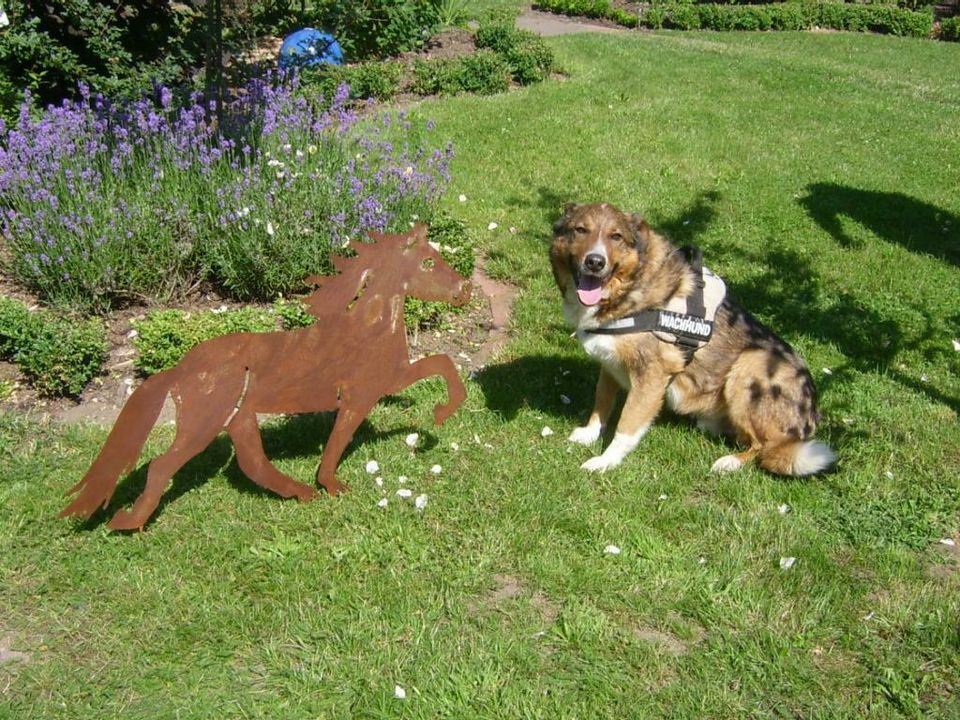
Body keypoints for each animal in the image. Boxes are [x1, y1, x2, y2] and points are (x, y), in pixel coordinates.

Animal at [552, 201, 836, 478]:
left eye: (616, 236)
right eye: (580, 230)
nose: (595, 262)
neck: (628, 291)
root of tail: (810, 420)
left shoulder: (651, 376)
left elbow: (626, 426)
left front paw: (606, 461)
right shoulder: (609, 365)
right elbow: (602, 403)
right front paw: (589, 434)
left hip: (753, 363)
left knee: (764, 447)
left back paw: (730, 462)